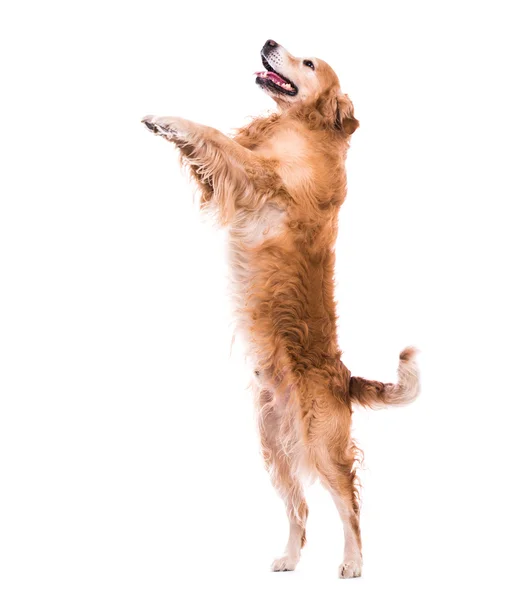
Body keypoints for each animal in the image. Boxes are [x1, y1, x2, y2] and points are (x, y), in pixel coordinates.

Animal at [141, 41, 420, 576]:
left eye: (309, 63)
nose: (269, 42)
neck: (303, 128)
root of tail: (345, 377)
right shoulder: (231, 178)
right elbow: (213, 150)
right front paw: (165, 127)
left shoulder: (262, 179)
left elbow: (216, 139)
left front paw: (169, 118)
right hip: (276, 447)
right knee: (300, 510)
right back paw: (289, 558)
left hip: (321, 444)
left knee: (349, 503)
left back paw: (353, 563)